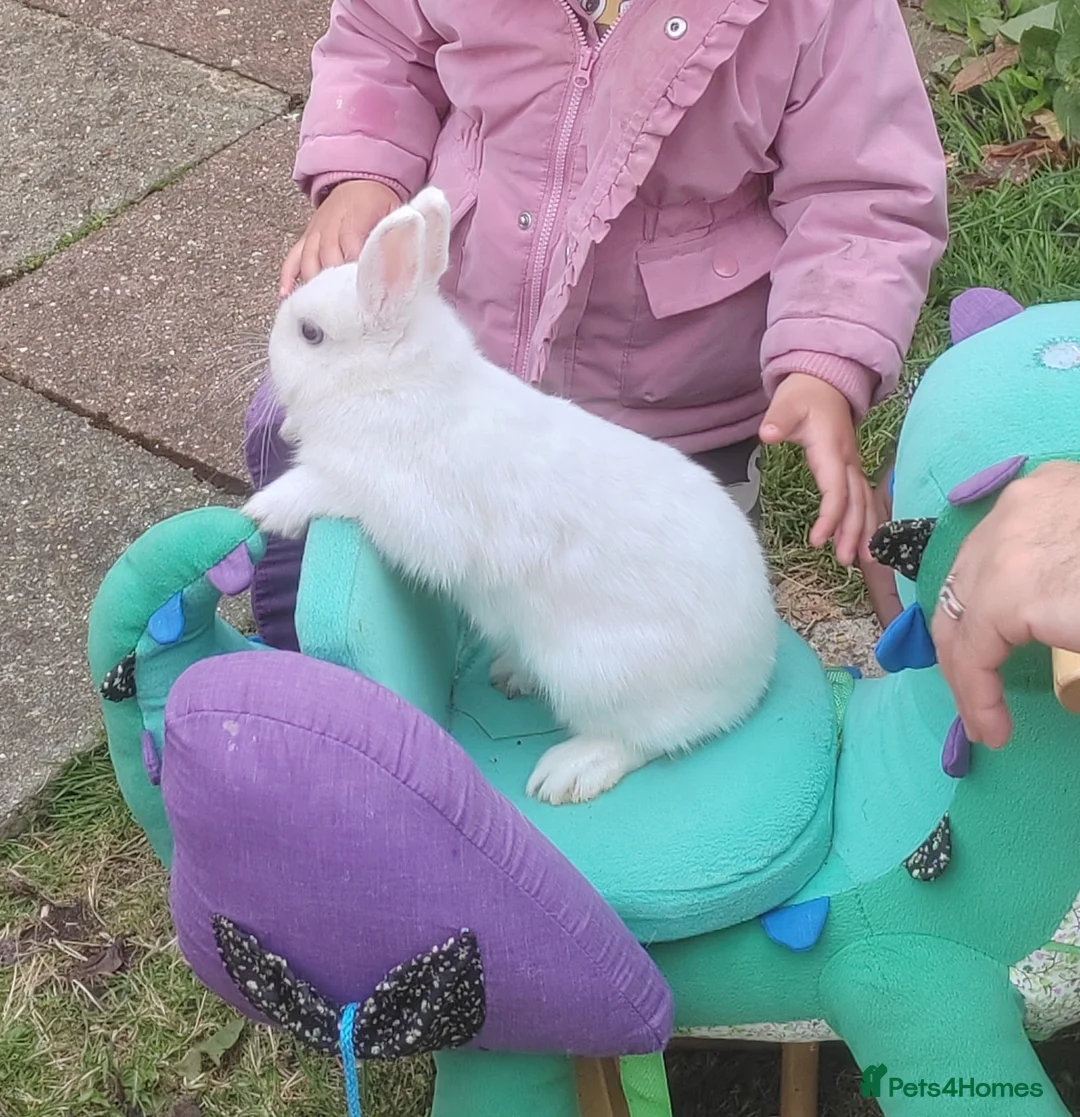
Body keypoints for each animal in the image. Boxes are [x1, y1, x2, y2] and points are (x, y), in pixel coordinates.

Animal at [243, 187, 779, 806]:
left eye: (310, 334)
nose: (269, 346)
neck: (394, 385)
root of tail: (757, 666)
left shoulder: (394, 496)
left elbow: (326, 483)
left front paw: (265, 509)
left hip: (596, 675)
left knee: (648, 738)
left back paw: (567, 773)